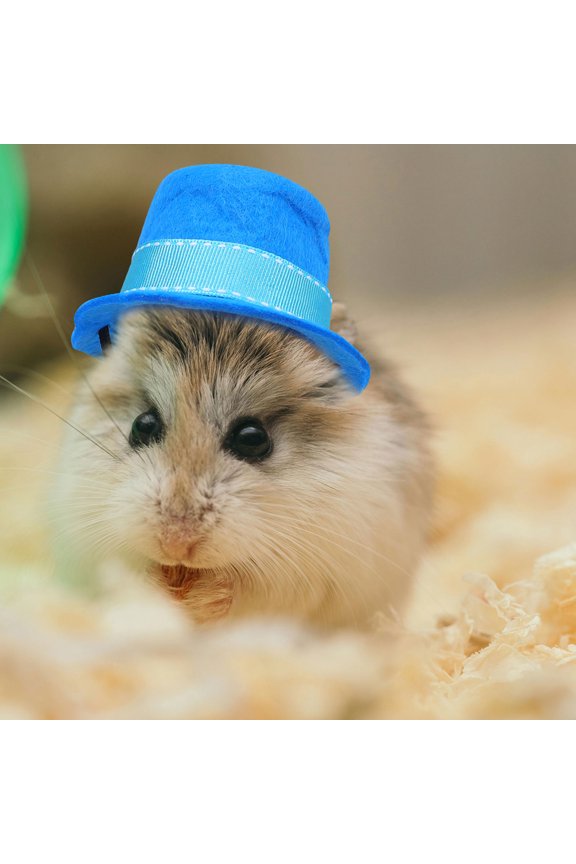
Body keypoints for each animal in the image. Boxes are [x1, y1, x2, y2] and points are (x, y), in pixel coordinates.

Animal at [50, 303, 433, 629]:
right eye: (142, 425)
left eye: (252, 438)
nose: (175, 545)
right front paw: (160, 588)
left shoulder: (312, 571)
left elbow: (249, 591)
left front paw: (202, 598)